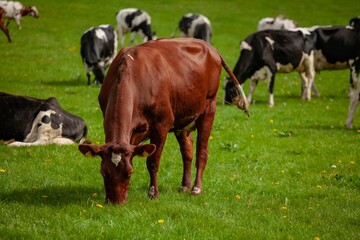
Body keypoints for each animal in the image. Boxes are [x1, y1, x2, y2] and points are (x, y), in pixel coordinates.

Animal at [78, 38, 248, 203]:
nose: (115, 202)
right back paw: (184, 186)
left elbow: (153, 161)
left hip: (209, 107)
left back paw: (196, 189)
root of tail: (210, 47)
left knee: (202, 151)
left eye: (129, 173)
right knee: (187, 150)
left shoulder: (161, 125)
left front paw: (153, 194)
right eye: (103, 172)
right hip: (182, 117)